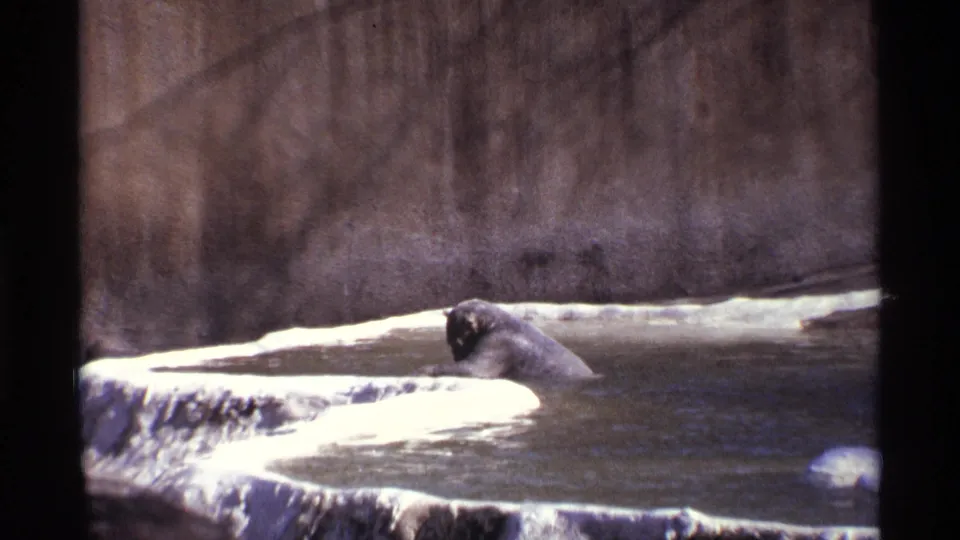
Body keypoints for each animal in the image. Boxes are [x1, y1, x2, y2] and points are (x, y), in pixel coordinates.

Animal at [413, 298, 598, 381]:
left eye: (456, 341)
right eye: (448, 341)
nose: (456, 356)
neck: (491, 321)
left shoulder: (497, 344)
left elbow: (474, 369)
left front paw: (423, 369)